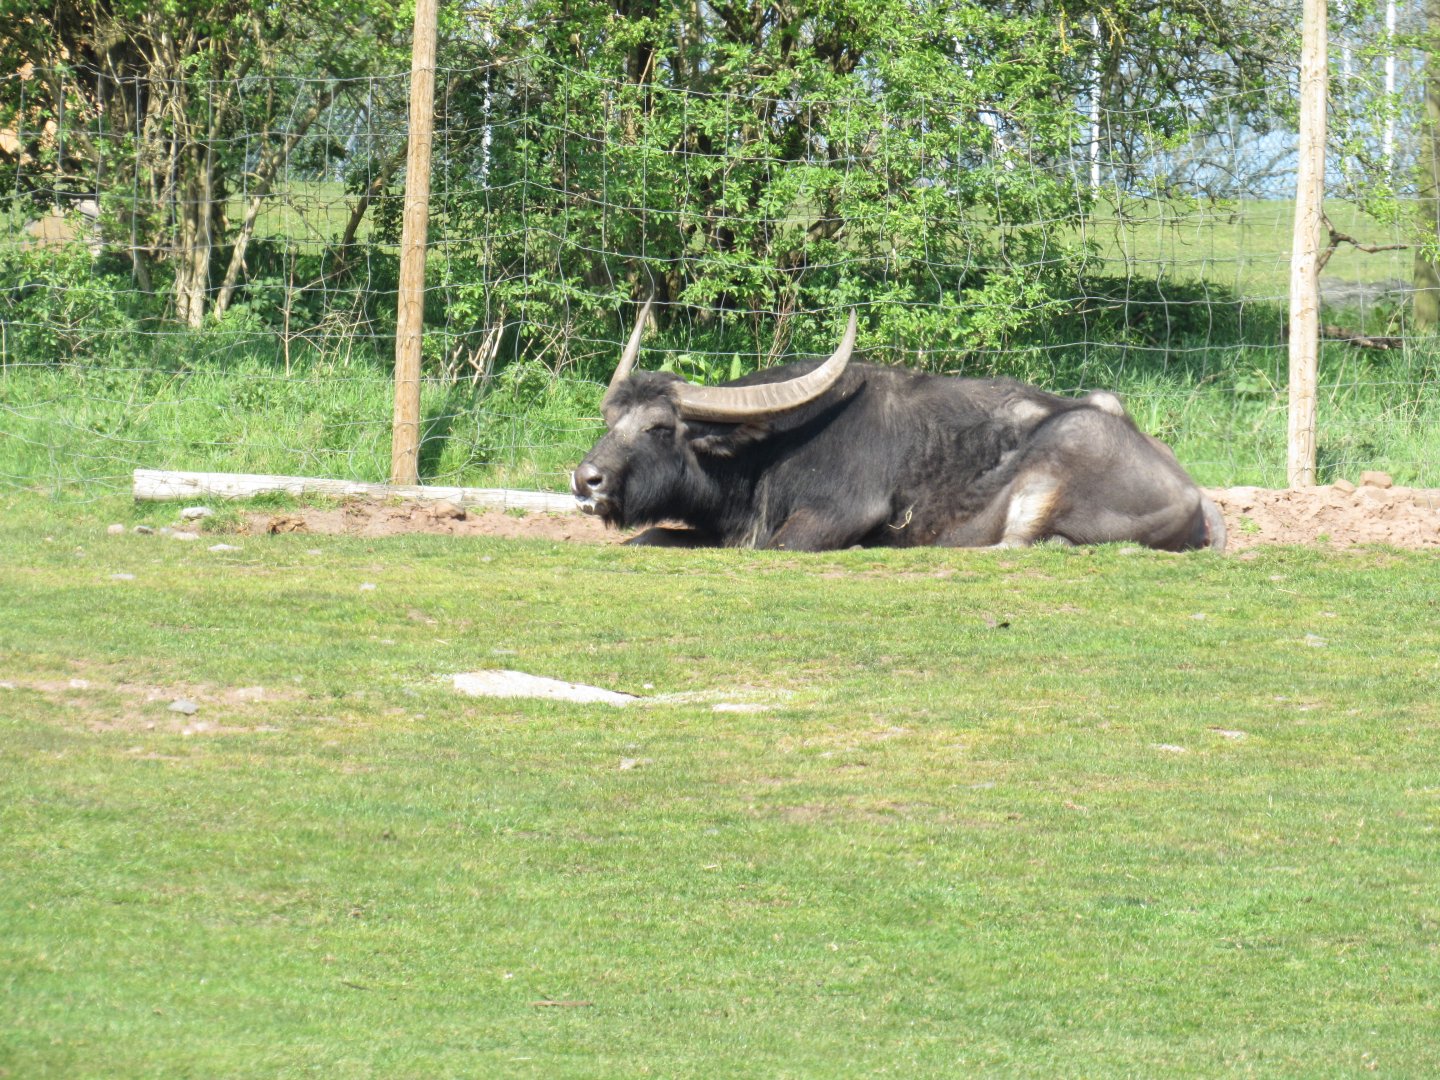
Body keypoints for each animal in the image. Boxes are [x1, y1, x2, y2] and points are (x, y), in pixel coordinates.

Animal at [572, 302, 1226, 552]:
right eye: (612, 419)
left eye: (660, 427)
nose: (586, 479)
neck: (768, 449)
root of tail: (1195, 495)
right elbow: (648, 538)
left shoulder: (833, 517)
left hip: (1061, 455)